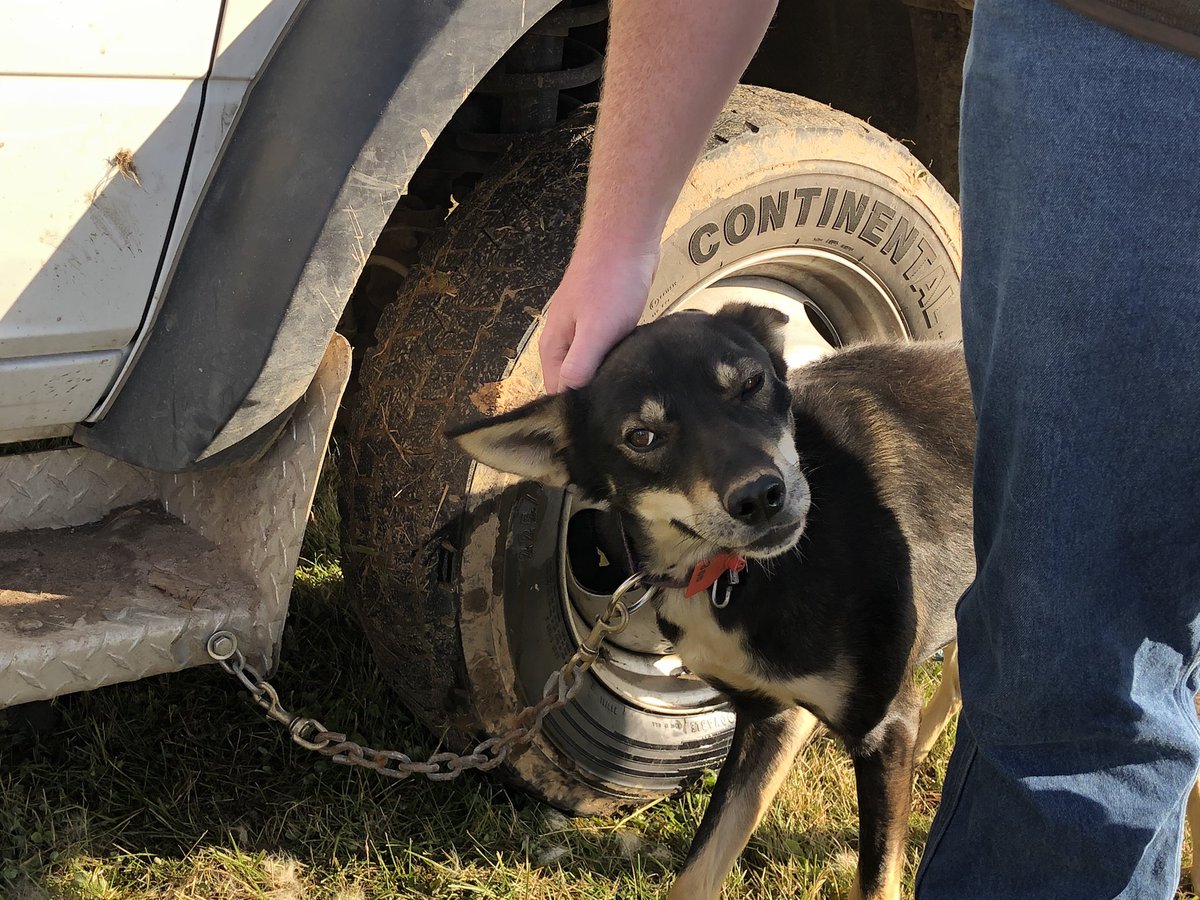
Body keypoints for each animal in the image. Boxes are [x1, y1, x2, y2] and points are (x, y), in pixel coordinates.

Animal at [451, 307, 974, 897]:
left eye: (751, 383)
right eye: (641, 436)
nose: (760, 497)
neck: (731, 575)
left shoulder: (880, 725)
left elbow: (876, 881)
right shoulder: (771, 717)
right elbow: (698, 870)